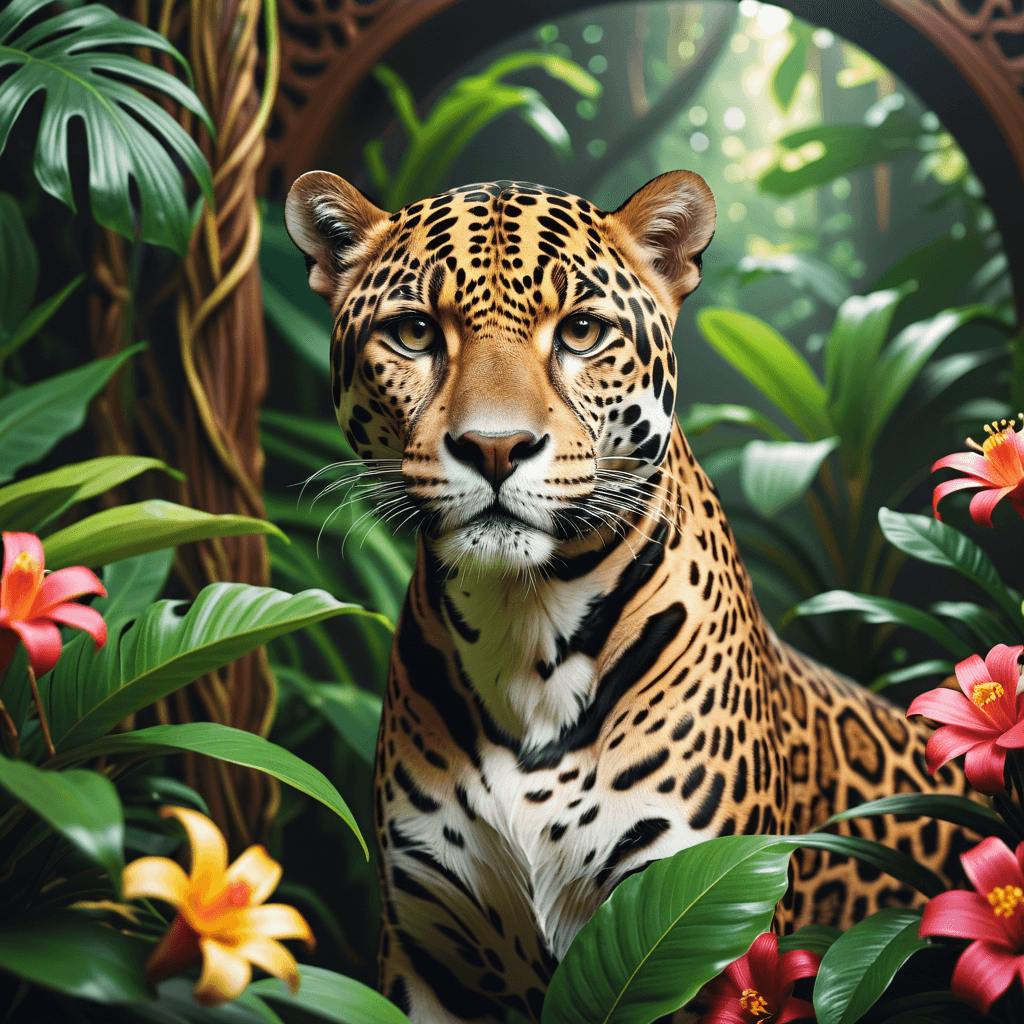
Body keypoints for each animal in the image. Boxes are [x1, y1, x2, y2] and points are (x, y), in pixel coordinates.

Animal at [284, 168, 971, 1024]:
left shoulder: (702, 915)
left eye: (581, 332)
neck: (523, 632)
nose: (495, 448)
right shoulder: (425, 950)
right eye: (414, 332)